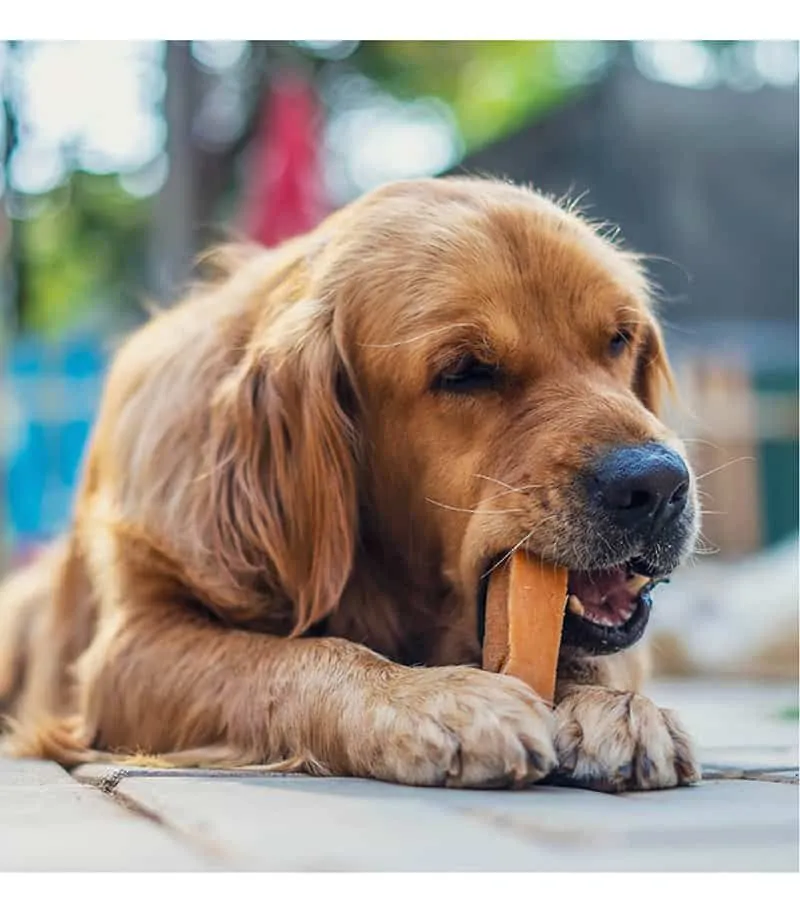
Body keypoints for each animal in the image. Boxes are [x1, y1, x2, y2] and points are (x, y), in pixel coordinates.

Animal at [0, 179, 700, 792]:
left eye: (620, 338)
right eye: (466, 371)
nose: (657, 485)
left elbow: (597, 655)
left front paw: (612, 704)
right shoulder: (130, 647)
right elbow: (290, 659)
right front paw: (434, 699)